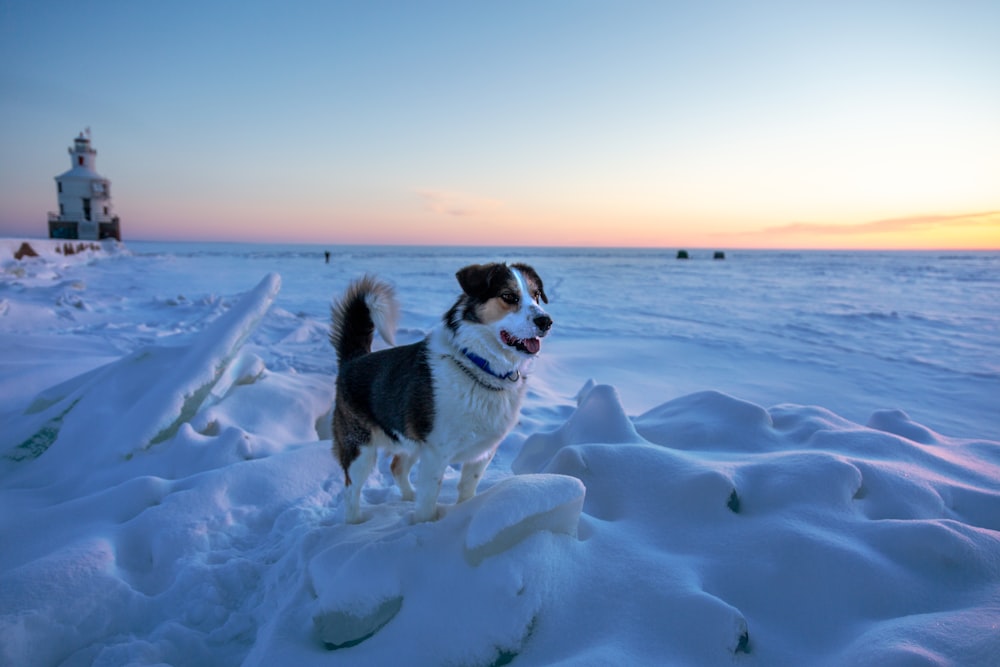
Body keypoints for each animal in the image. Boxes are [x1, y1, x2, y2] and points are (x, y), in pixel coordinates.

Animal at [328, 264, 552, 524]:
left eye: (536, 295)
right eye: (508, 296)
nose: (546, 321)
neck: (477, 365)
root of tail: (353, 360)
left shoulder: (481, 453)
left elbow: (467, 489)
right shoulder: (436, 453)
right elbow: (428, 499)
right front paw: (425, 526)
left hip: (411, 438)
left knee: (397, 466)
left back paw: (407, 499)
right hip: (359, 448)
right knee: (351, 489)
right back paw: (355, 524)